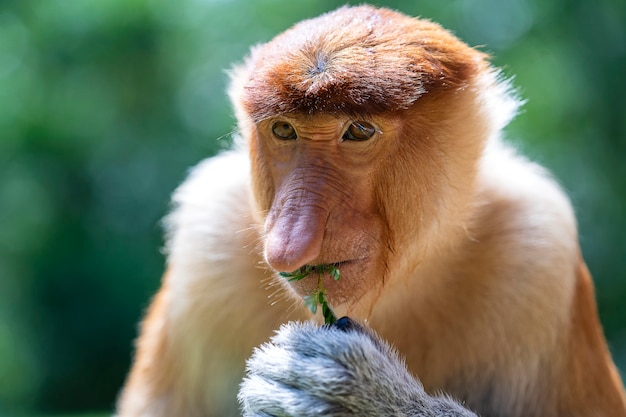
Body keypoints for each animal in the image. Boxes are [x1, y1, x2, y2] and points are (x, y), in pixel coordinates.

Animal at [114, 4, 620, 416]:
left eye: (358, 130)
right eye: (283, 130)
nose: (288, 245)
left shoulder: (540, 247)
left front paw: (354, 393)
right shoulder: (205, 242)